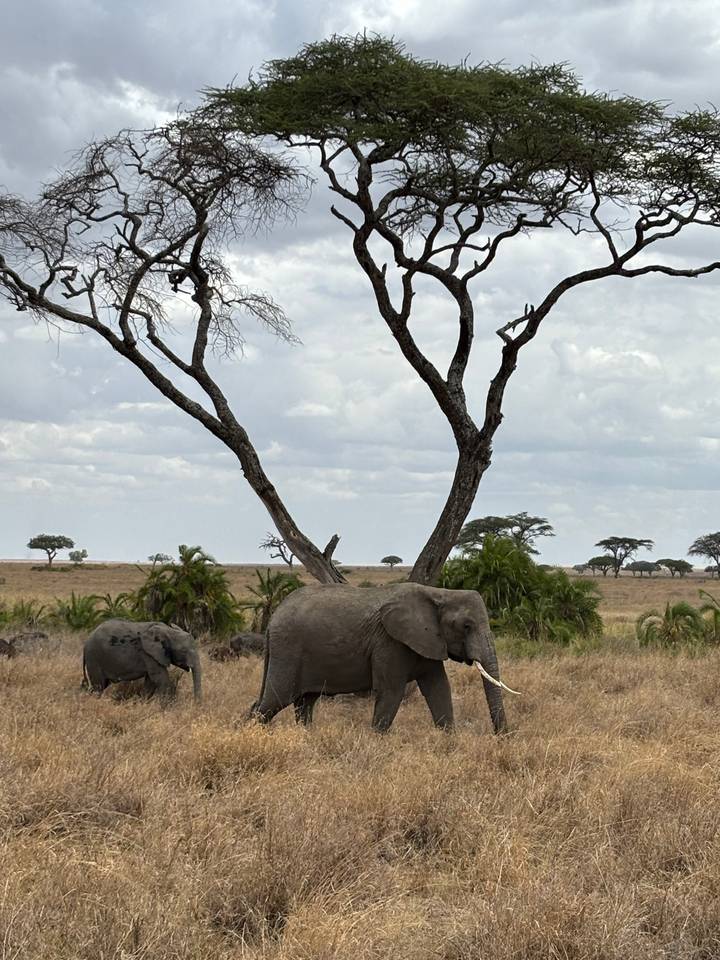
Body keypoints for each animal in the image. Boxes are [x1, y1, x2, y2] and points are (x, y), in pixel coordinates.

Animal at [250, 583, 518, 733]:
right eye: (466, 626)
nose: (503, 736)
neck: (439, 593)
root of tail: (272, 619)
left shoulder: (428, 640)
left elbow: (439, 688)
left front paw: (449, 742)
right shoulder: (390, 642)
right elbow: (391, 691)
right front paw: (376, 742)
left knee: (304, 702)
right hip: (288, 649)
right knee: (275, 700)